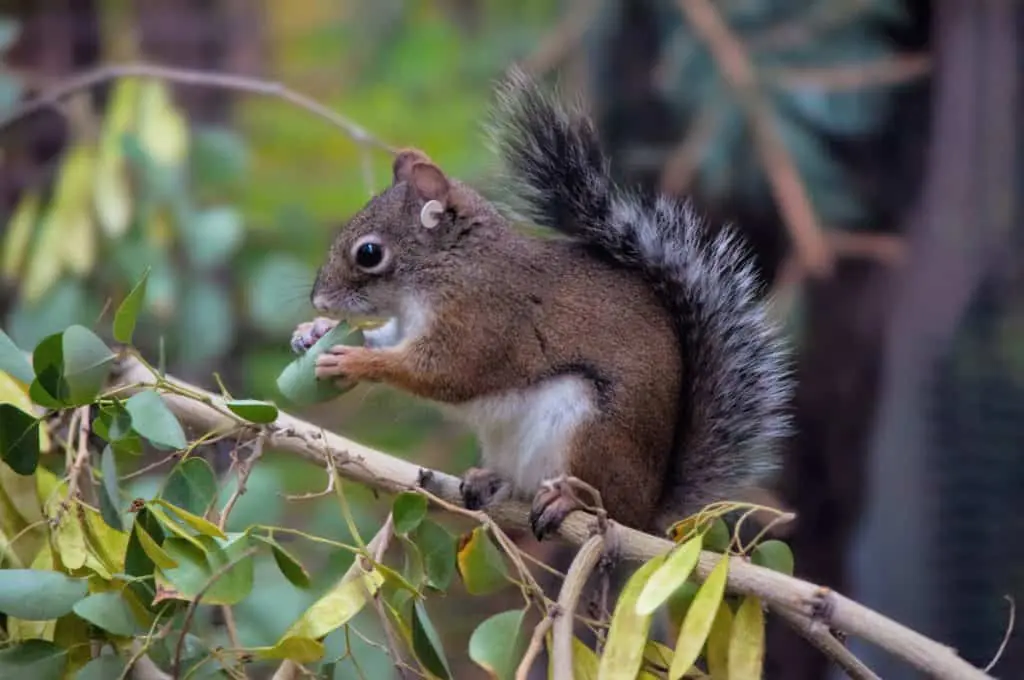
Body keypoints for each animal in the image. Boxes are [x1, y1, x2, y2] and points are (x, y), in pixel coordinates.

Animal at [290, 67, 790, 536]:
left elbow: (444, 372)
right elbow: (391, 339)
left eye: (369, 253)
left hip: (591, 433)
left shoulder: (482, 318)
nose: (320, 299)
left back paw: (568, 500)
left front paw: (355, 361)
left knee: (608, 505)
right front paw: (312, 333)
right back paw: (490, 480)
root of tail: (651, 510)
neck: (447, 267)